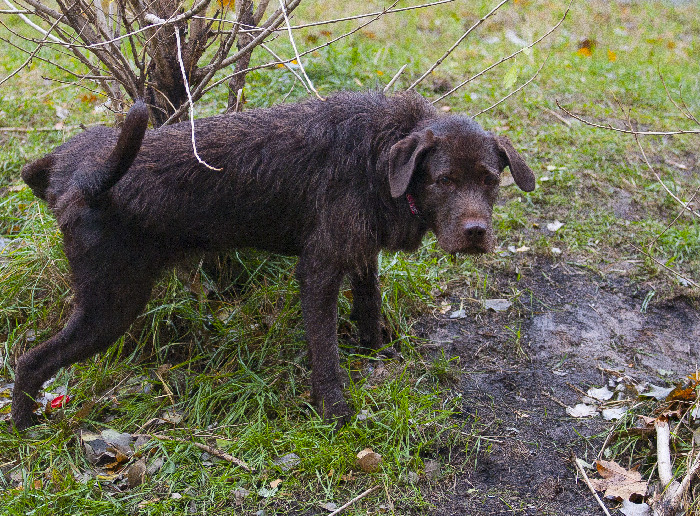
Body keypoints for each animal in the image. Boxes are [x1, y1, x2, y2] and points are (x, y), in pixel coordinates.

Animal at [13, 90, 532, 430]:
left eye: (490, 179)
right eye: (444, 181)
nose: (476, 233)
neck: (381, 158)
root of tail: (71, 178)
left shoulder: (360, 252)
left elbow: (368, 304)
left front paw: (376, 350)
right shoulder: (318, 271)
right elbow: (325, 352)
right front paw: (335, 412)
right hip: (110, 305)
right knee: (32, 361)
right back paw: (24, 427)